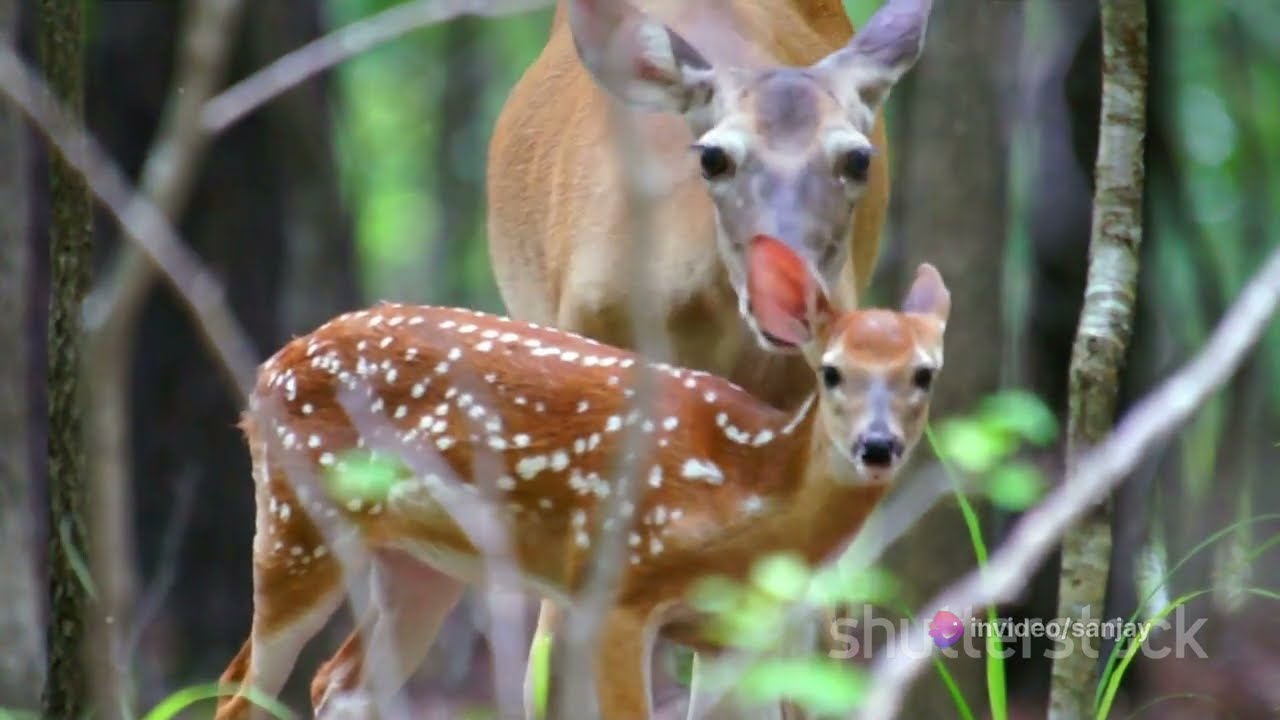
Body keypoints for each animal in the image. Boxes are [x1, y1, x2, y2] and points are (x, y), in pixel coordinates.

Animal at [213, 236, 951, 720]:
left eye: (924, 373)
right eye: (831, 372)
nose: (877, 446)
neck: (745, 492)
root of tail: (266, 376)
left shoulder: (734, 636)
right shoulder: (617, 588)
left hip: (422, 565)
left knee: (339, 686)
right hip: (295, 519)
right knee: (240, 684)